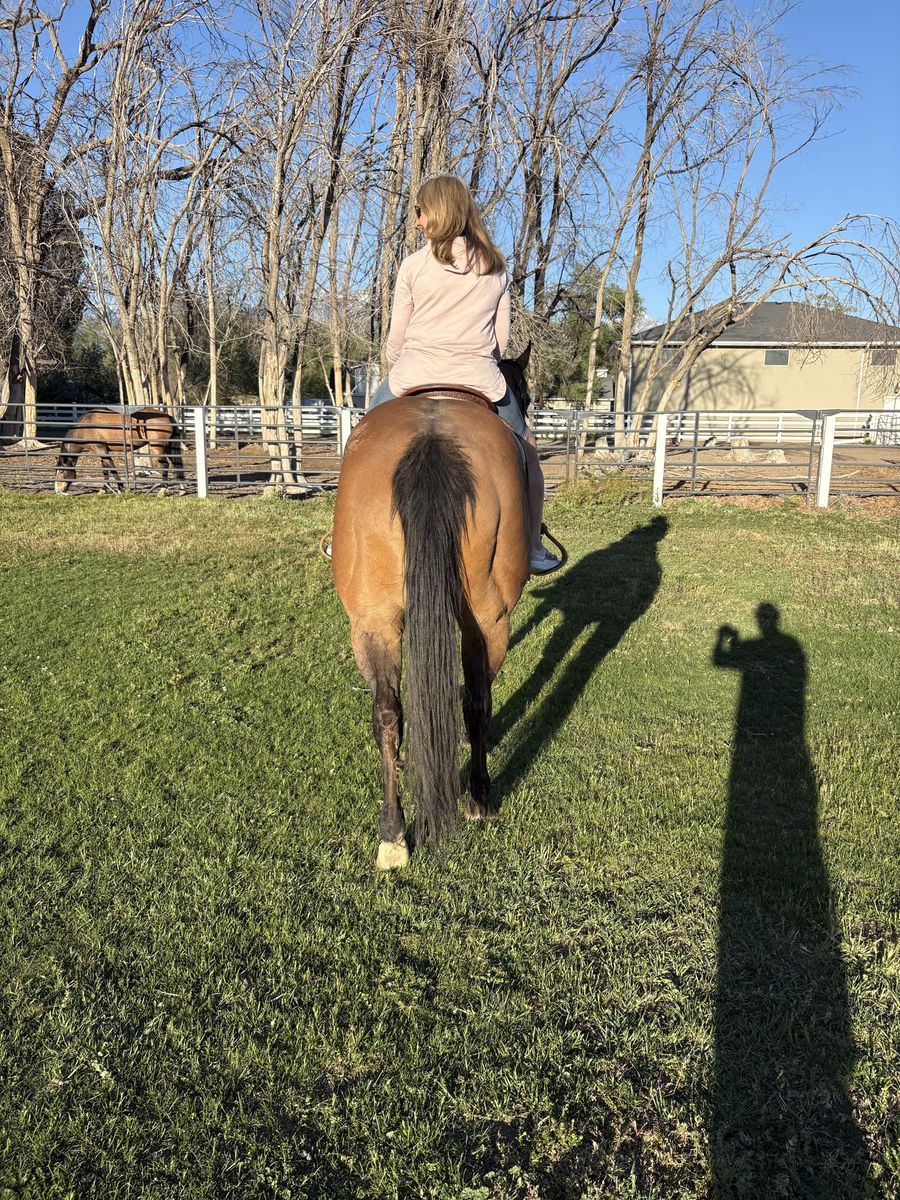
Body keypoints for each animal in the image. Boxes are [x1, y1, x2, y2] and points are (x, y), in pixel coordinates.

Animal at [55, 408, 185, 494]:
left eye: (61, 471)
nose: (57, 490)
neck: (85, 427)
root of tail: (168, 416)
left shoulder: (101, 450)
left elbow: (112, 469)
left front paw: (120, 488)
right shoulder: (103, 452)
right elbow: (105, 470)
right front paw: (104, 489)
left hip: (157, 449)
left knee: (165, 465)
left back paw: (162, 490)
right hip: (168, 448)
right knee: (176, 464)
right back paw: (182, 489)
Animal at [331, 348, 537, 870]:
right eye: (525, 395)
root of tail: (432, 439)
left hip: (373, 622)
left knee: (387, 711)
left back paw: (393, 833)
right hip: (490, 621)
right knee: (476, 701)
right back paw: (478, 798)